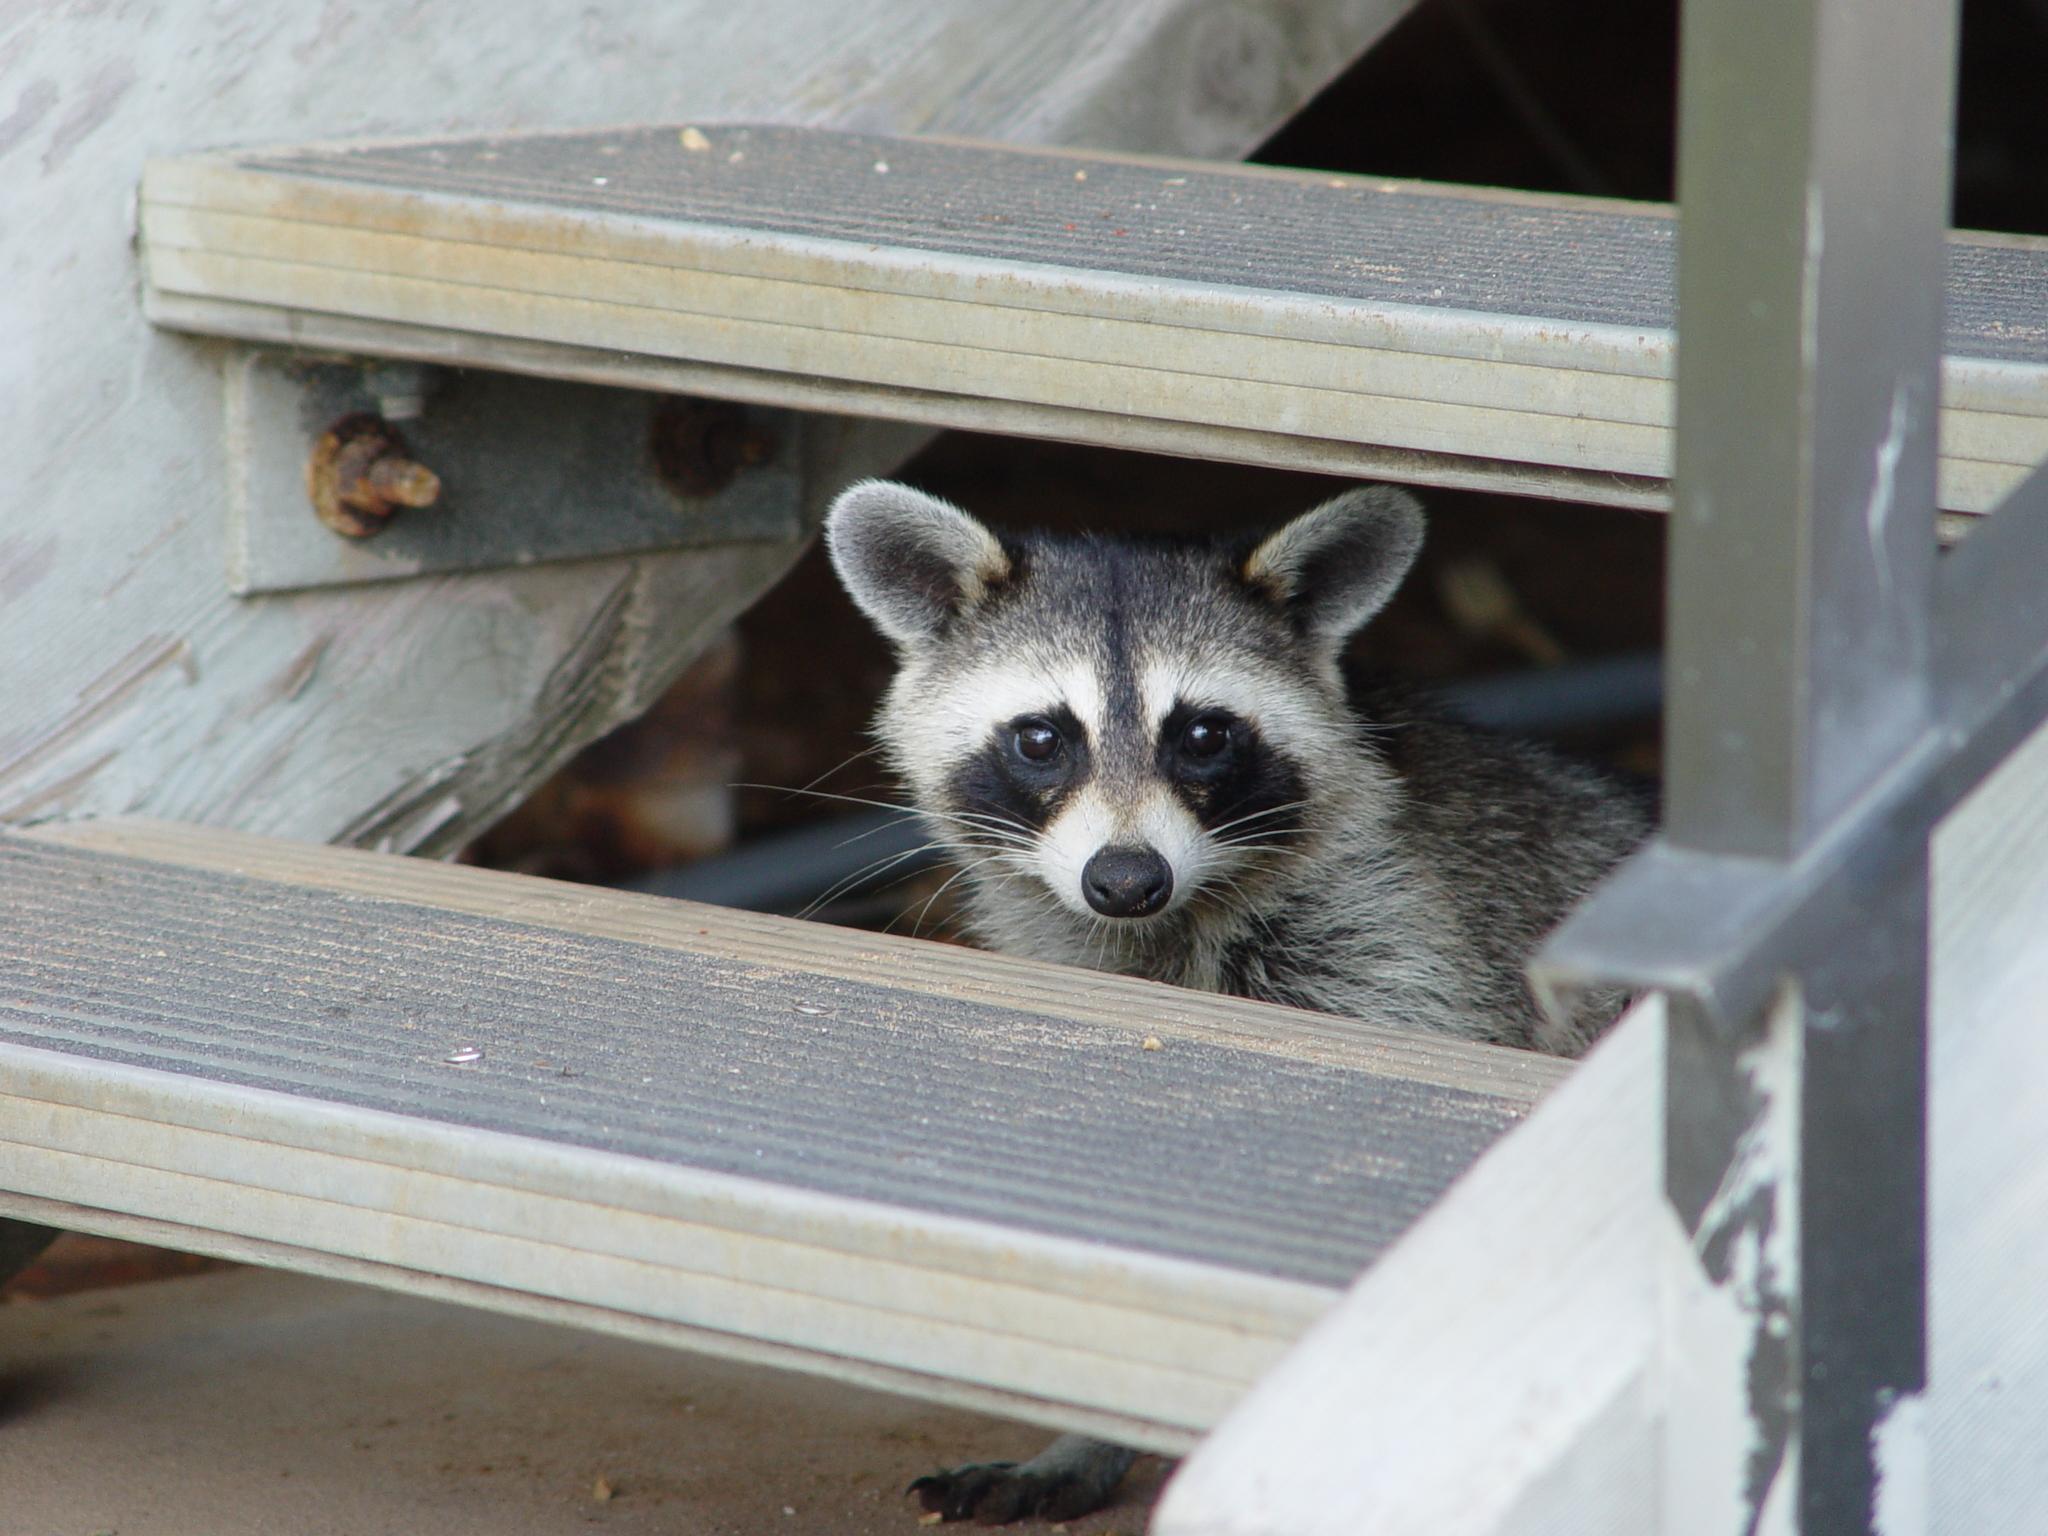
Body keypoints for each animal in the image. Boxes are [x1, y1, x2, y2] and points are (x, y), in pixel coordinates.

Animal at [824, 478, 1651, 1522]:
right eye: (1042, 739)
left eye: (1205, 735)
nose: (1125, 879)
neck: (1169, 927)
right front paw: (1085, 1434)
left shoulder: (1398, 940)